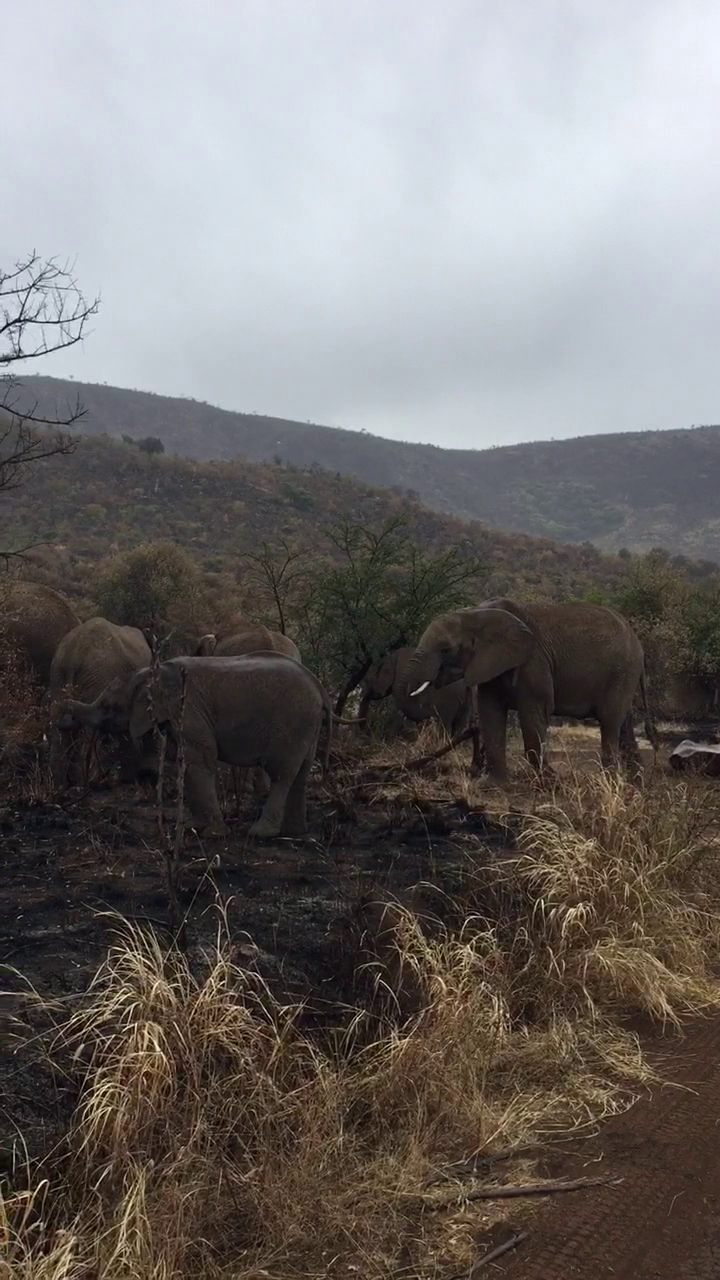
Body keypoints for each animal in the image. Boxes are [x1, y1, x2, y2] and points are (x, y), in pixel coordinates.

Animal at [50, 619, 152, 788]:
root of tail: (73, 655)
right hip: (92, 674)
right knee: (87, 731)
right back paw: (86, 783)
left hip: (59, 674)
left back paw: (64, 785)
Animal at [66, 650, 327, 839]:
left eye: (109, 707)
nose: (64, 712)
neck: (150, 673)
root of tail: (316, 683)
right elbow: (187, 762)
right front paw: (194, 827)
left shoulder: (187, 709)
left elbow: (199, 760)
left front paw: (212, 835)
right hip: (307, 726)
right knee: (301, 773)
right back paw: (295, 832)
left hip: (292, 723)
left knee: (281, 774)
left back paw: (261, 834)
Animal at [404, 596, 655, 778]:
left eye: (446, 649)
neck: (476, 613)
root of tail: (639, 644)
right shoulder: (491, 666)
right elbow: (491, 712)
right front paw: (496, 784)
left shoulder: (533, 660)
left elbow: (536, 710)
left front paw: (549, 780)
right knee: (624, 723)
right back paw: (635, 780)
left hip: (622, 671)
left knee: (610, 721)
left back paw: (611, 779)